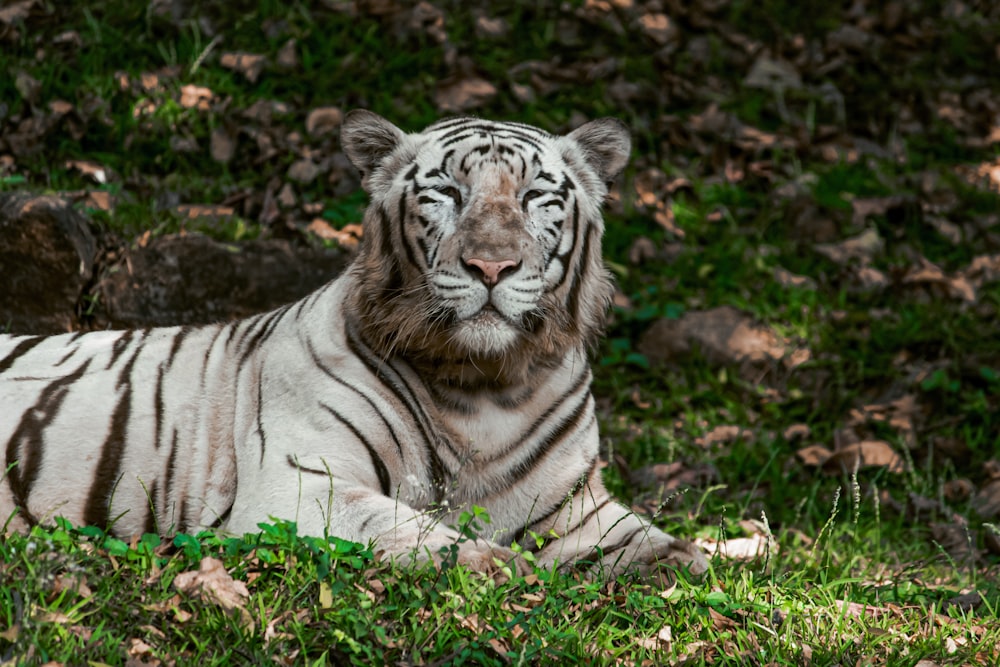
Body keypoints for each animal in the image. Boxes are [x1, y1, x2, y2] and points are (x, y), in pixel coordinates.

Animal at [0, 112, 708, 580]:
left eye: (535, 196)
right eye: (447, 193)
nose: (491, 265)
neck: (485, 385)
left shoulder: (575, 504)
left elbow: (650, 543)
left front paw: (687, 565)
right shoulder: (298, 483)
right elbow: (411, 529)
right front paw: (497, 564)